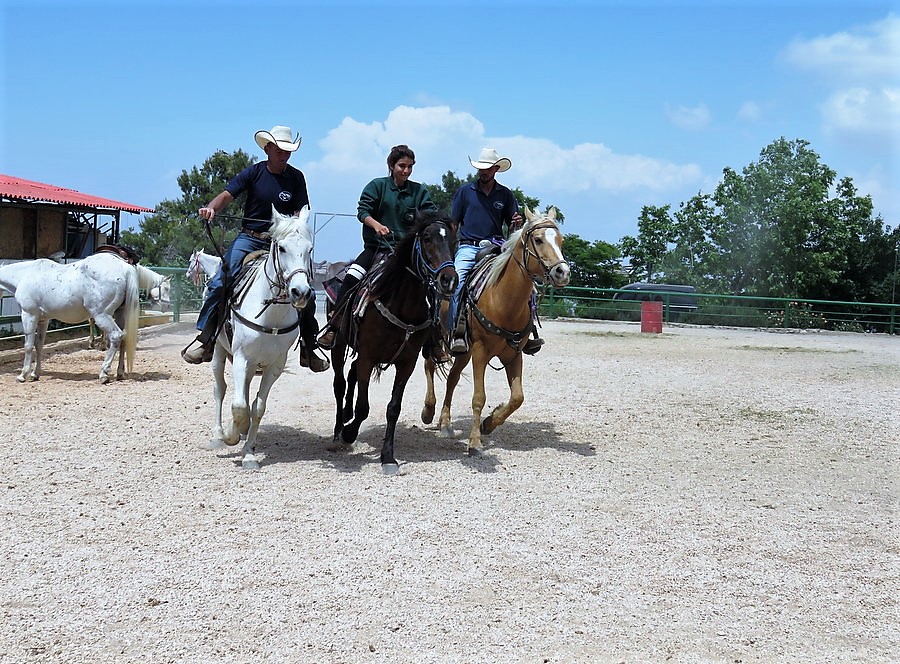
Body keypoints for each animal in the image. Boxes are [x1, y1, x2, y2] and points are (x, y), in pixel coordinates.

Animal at [0, 253, 140, 383]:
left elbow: (28, 346)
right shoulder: (43, 320)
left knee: (116, 336)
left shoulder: (29, 315)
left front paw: (23, 375)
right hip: (120, 314)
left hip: (102, 315)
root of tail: (125, 268)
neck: (25, 274)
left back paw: (104, 374)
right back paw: (120, 373)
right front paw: (35, 374)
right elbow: (39, 345)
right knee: (124, 338)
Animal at [204, 205, 315, 471]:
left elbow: (257, 407)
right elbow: (239, 405)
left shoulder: (274, 366)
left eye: (310, 249)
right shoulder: (241, 357)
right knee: (220, 389)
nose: (300, 292)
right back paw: (218, 435)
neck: (270, 312)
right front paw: (231, 436)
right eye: (282, 248)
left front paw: (249, 452)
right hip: (219, 352)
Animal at [330, 210, 458, 474]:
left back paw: (346, 416)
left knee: (351, 374)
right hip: (339, 345)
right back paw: (339, 430)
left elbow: (393, 408)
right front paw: (349, 433)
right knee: (339, 384)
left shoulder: (406, 362)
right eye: (427, 238)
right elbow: (363, 407)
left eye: (454, 241)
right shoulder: (368, 356)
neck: (400, 305)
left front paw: (388, 456)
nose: (449, 280)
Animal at [421, 207, 571, 454]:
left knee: (452, 378)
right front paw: (474, 442)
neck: (503, 301)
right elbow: (478, 397)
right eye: (538, 240)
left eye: (561, 241)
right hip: (438, 337)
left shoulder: (514, 355)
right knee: (429, 365)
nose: (562, 272)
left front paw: (489, 423)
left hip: (463, 351)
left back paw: (446, 423)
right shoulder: (480, 352)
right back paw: (428, 411)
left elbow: (518, 397)